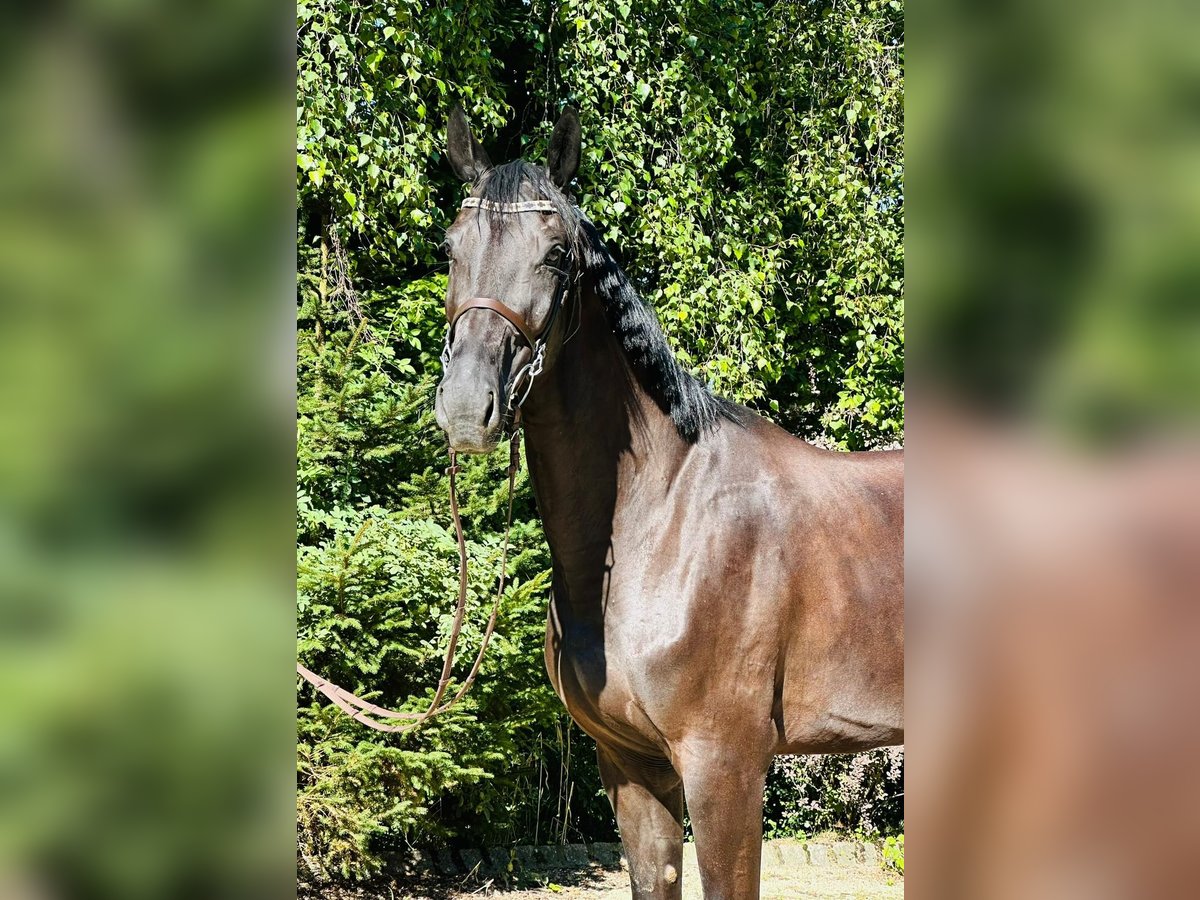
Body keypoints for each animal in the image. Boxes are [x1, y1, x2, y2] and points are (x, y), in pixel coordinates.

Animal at [432, 107, 902, 900]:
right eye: (450, 246)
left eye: (556, 256)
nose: (468, 407)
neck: (663, 521)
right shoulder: (630, 765)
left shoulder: (725, 767)